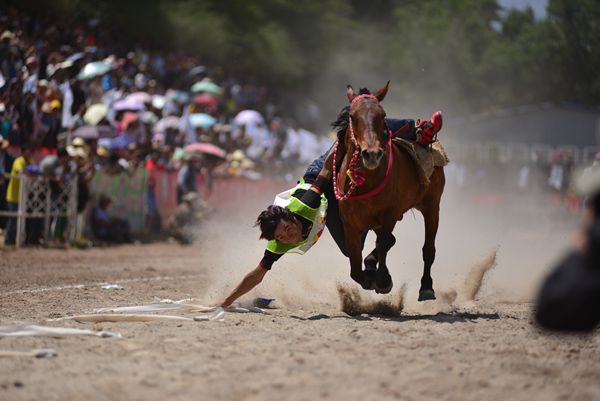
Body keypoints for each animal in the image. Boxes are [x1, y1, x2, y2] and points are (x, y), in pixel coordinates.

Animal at [332, 82, 446, 300]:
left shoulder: (390, 213)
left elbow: (383, 243)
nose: (372, 154)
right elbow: (355, 267)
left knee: (428, 249)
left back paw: (426, 287)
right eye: (352, 115)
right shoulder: (349, 224)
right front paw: (369, 276)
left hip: (431, 206)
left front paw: (383, 280)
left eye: (382, 115)